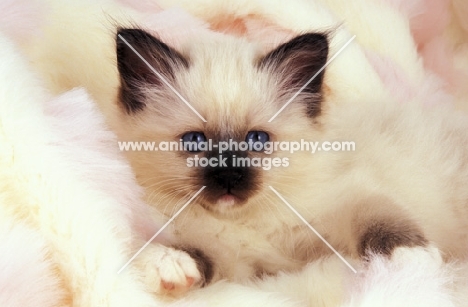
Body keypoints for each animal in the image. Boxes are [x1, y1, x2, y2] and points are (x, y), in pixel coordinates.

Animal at [113, 27, 468, 288]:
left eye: (257, 140)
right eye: (195, 140)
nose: (229, 177)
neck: (249, 222)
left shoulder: (344, 202)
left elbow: (378, 215)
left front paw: (411, 258)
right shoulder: (243, 264)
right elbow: (202, 254)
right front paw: (167, 263)